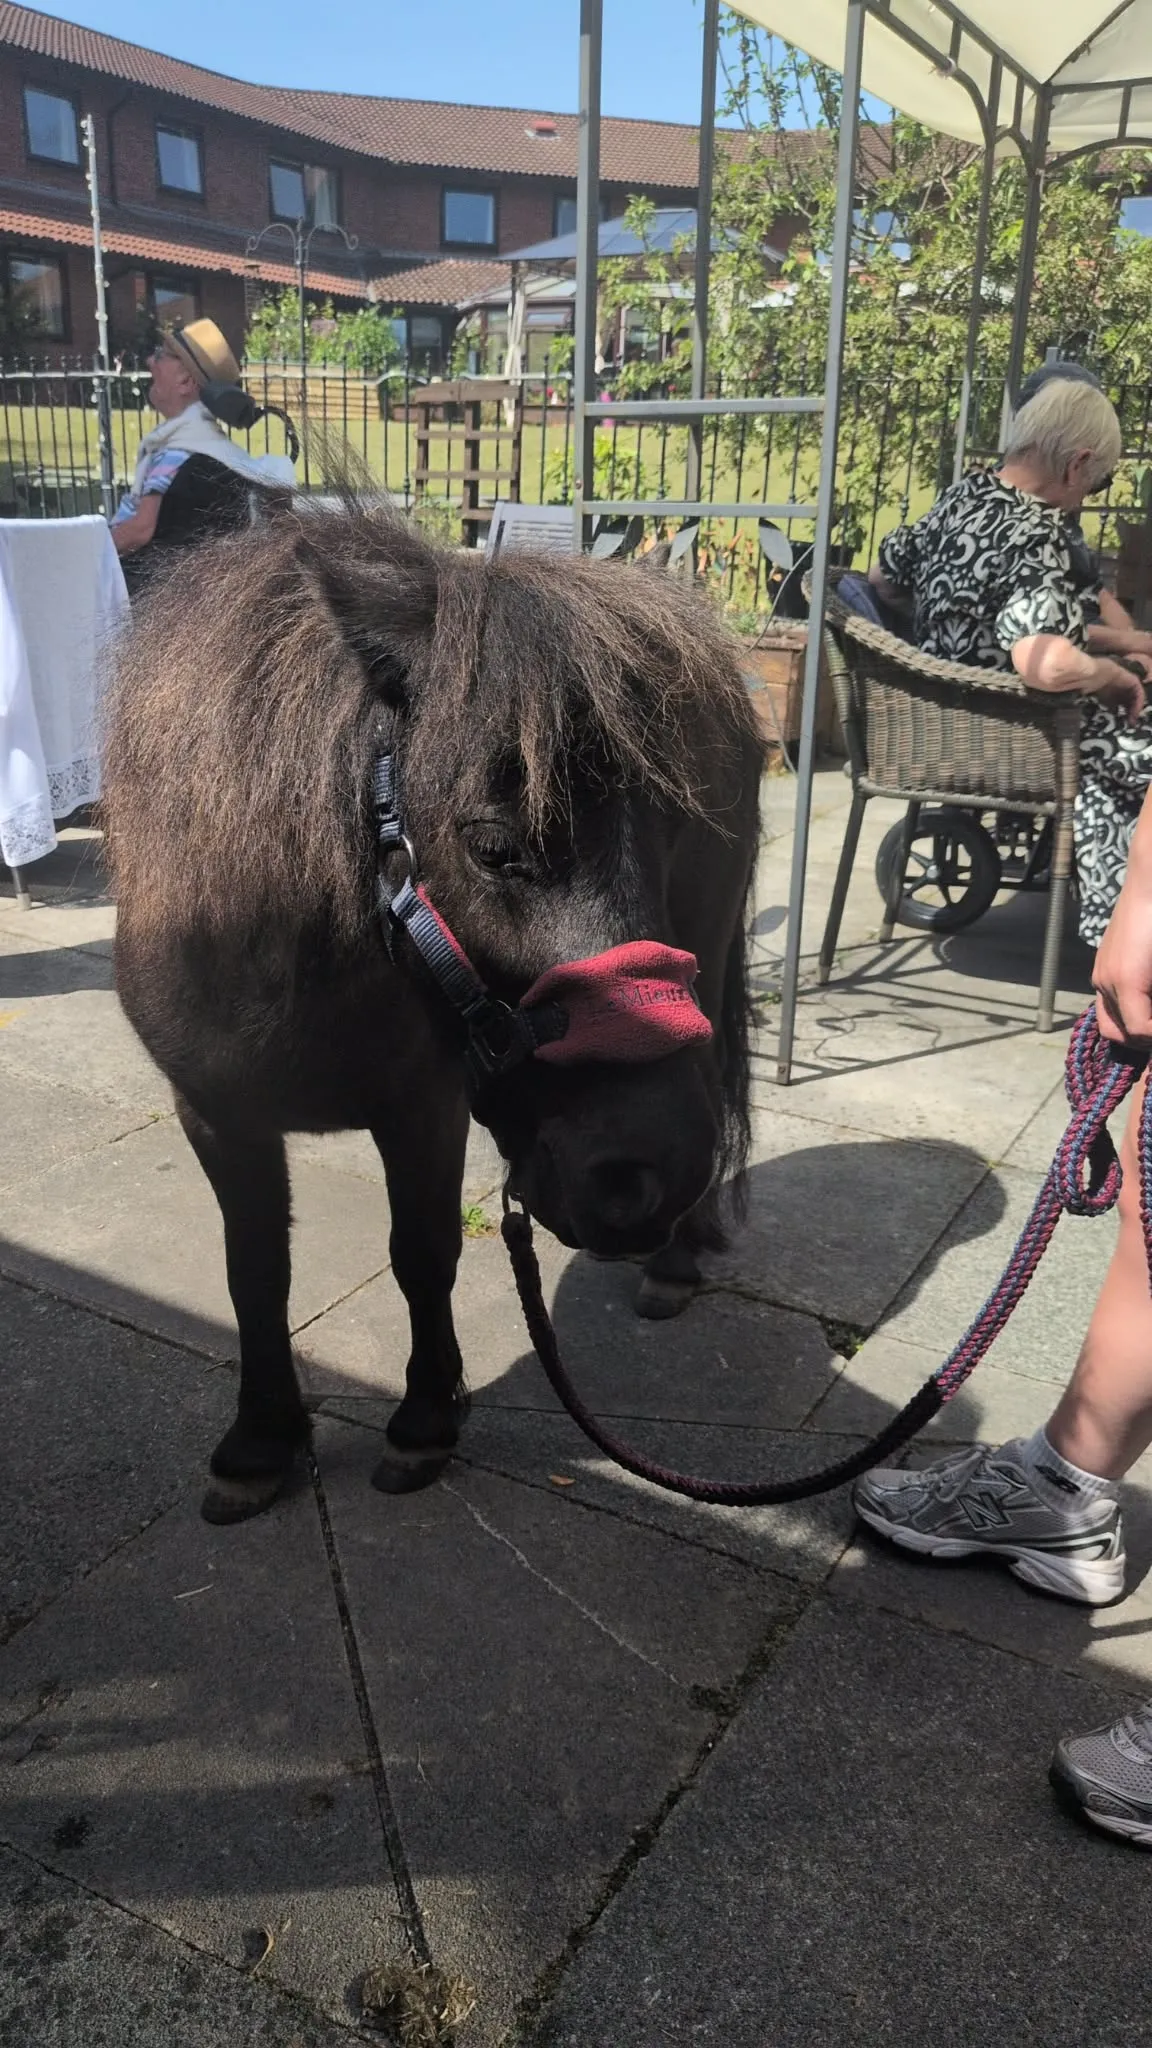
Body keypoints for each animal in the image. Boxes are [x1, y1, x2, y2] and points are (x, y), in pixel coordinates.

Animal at [102, 502, 764, 1524]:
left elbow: (423, 1254)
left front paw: (422, 1420)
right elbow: (255, 1270)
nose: (643, 1177)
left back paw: (676, 1263)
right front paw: (261, 1439)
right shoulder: (215, 1113)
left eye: (675, 826)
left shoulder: (428, 1106)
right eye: (493, 845)